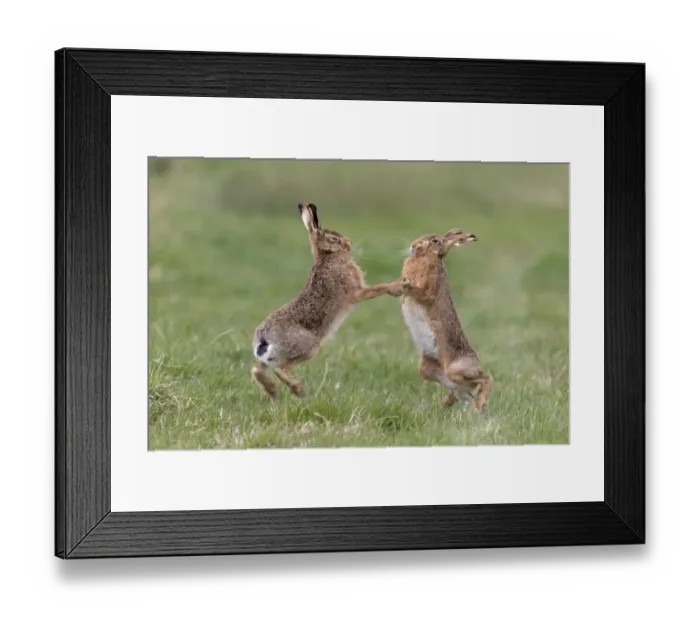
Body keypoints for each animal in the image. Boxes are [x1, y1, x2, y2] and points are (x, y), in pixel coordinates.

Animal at [252, 202, 406, 400]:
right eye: (334, 238)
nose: (349, 244)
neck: (327, 257)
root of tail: (263, 340)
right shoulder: (356, 291)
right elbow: (378, 288)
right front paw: (398, 285)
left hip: (275, 357)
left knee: (258, 370)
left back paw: (273, 391)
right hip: (308, 347)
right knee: (280, 369)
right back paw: (299, 390)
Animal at [399, 228, 493, 410]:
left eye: (435, 241)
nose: (413, 245)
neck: (427, 257)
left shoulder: (428, 289)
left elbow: (418, 291)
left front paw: (404, 291)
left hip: (457, 369)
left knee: (486, 378)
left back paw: (478, 404)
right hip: (429, 369)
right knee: (459, 390)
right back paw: (445, 403)